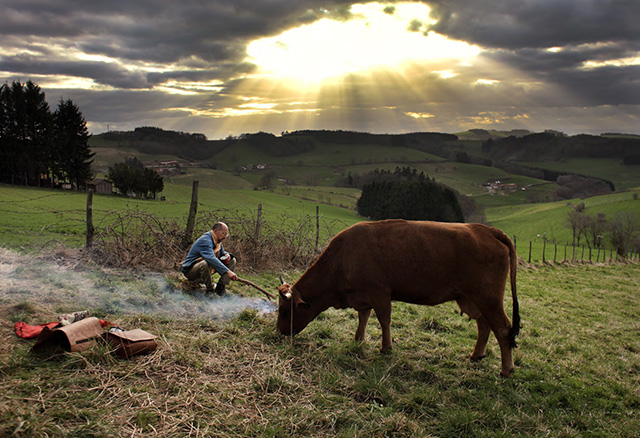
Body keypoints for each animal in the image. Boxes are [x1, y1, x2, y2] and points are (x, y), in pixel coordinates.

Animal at [278, 219, 524, 376]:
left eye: (285, 310)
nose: (280, 331)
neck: (343, 258)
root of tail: (487, 231)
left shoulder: (380, 293)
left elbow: (384, 320)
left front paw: (386, 348)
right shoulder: (363, 296)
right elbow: (363, 318)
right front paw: (358, 339)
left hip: (489, 299)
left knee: (503, 329)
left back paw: (506, 369)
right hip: (474, 299)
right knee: (485, 325)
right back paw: (476, 355)